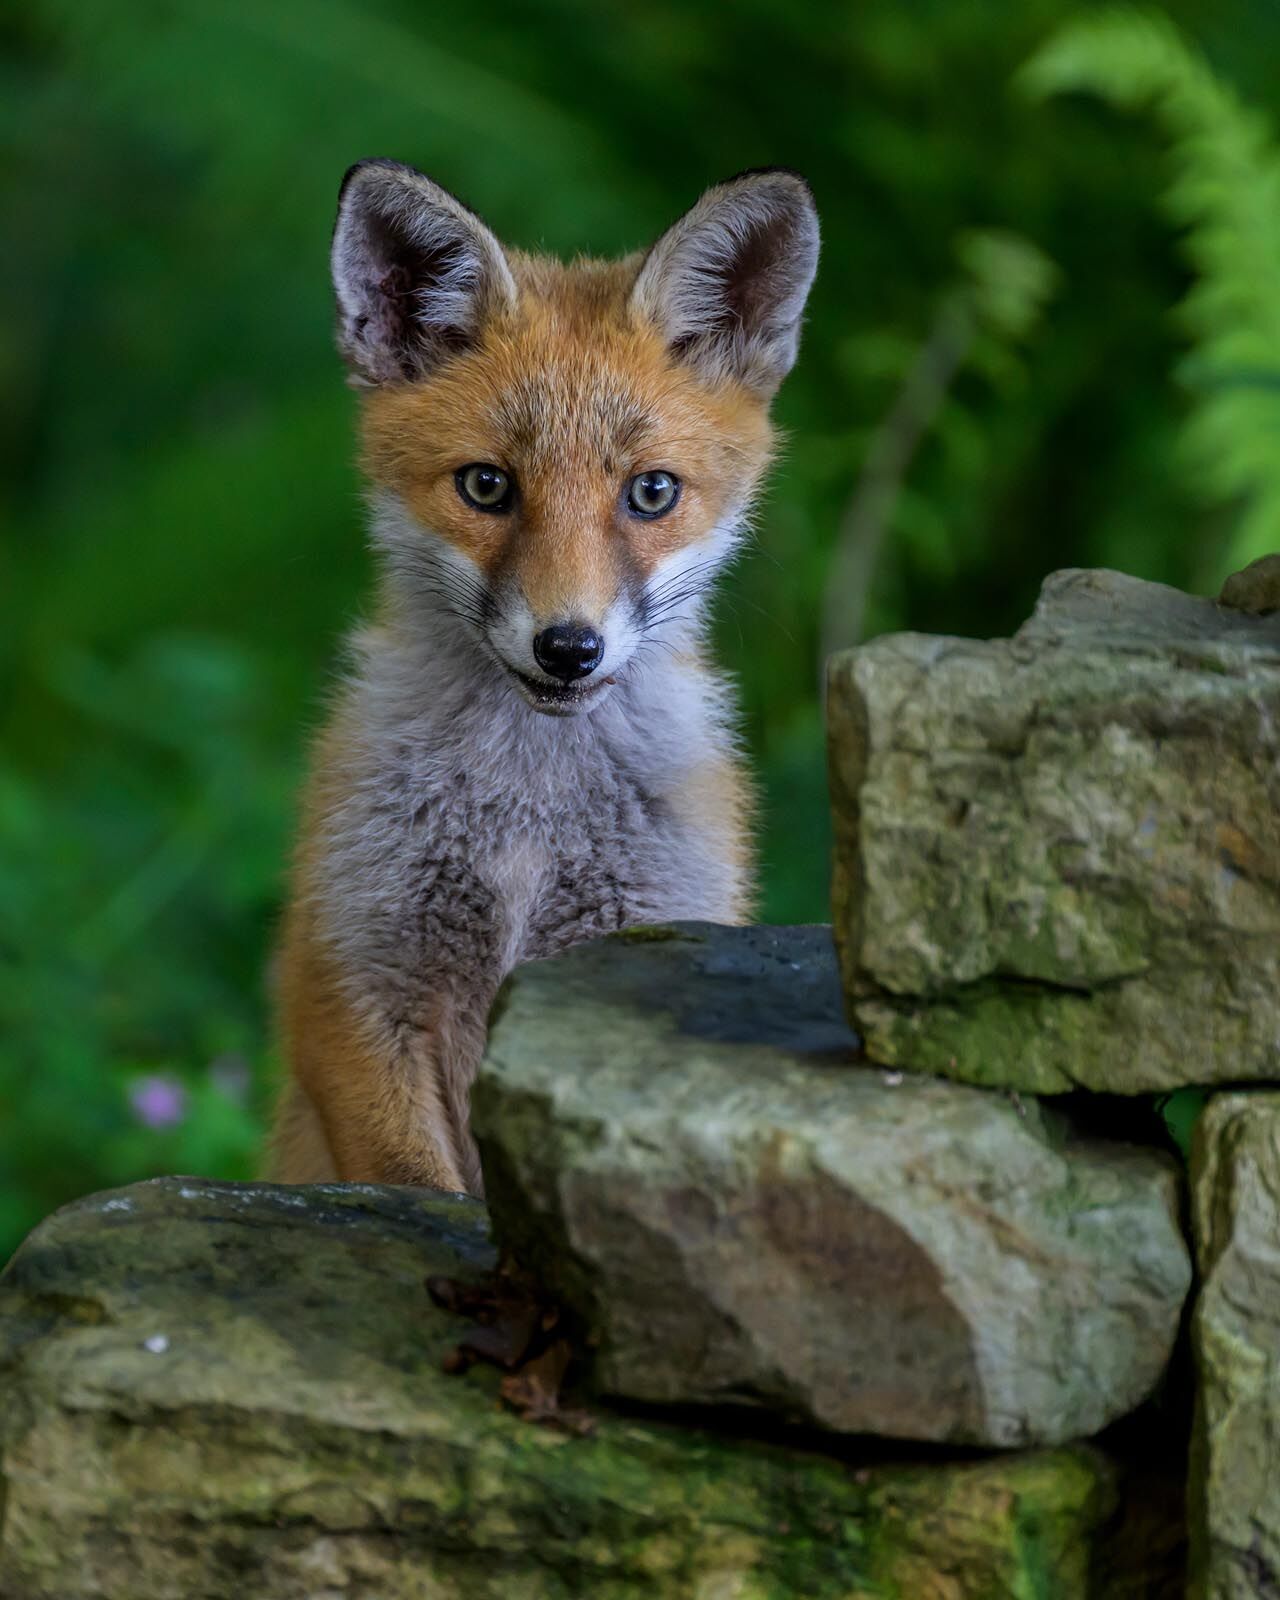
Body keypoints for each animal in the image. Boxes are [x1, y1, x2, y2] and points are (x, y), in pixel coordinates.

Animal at [270, 159, 820, 1192]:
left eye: (651, 492)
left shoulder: (634, 953)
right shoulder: (354, 973)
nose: (568, 647)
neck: (530, 814)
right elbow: (414, 1187)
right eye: (487, 486)